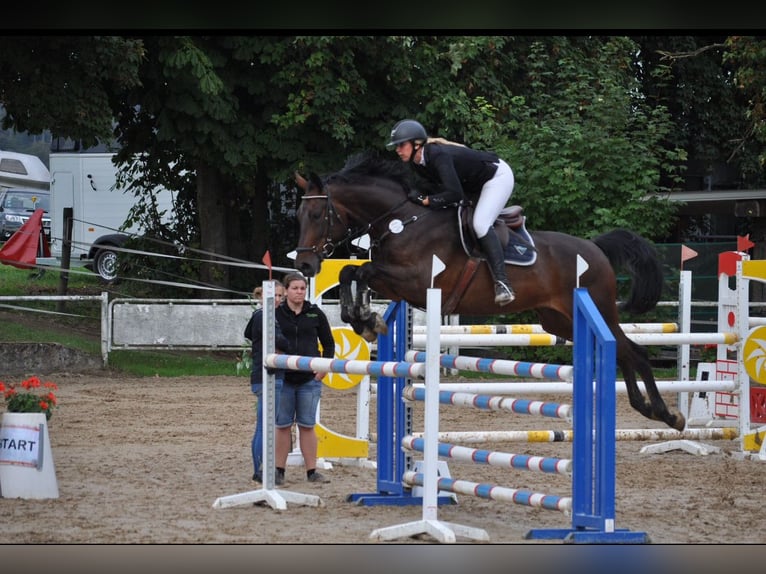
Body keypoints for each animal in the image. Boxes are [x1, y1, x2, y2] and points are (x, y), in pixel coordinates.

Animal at [292, 151, 684, 430]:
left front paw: (366, 319)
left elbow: (361, 270)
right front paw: (364, 320)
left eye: (317, 215)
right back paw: (647, 408)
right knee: (622, 350)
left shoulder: (418, 281)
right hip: (560, 320)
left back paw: (667, 414)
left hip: (597, 307)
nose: (306, 266)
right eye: (299, 215)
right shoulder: (401, 286)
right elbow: (352, 272)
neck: (402, 220)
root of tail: (596, 248)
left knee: (634, 351)